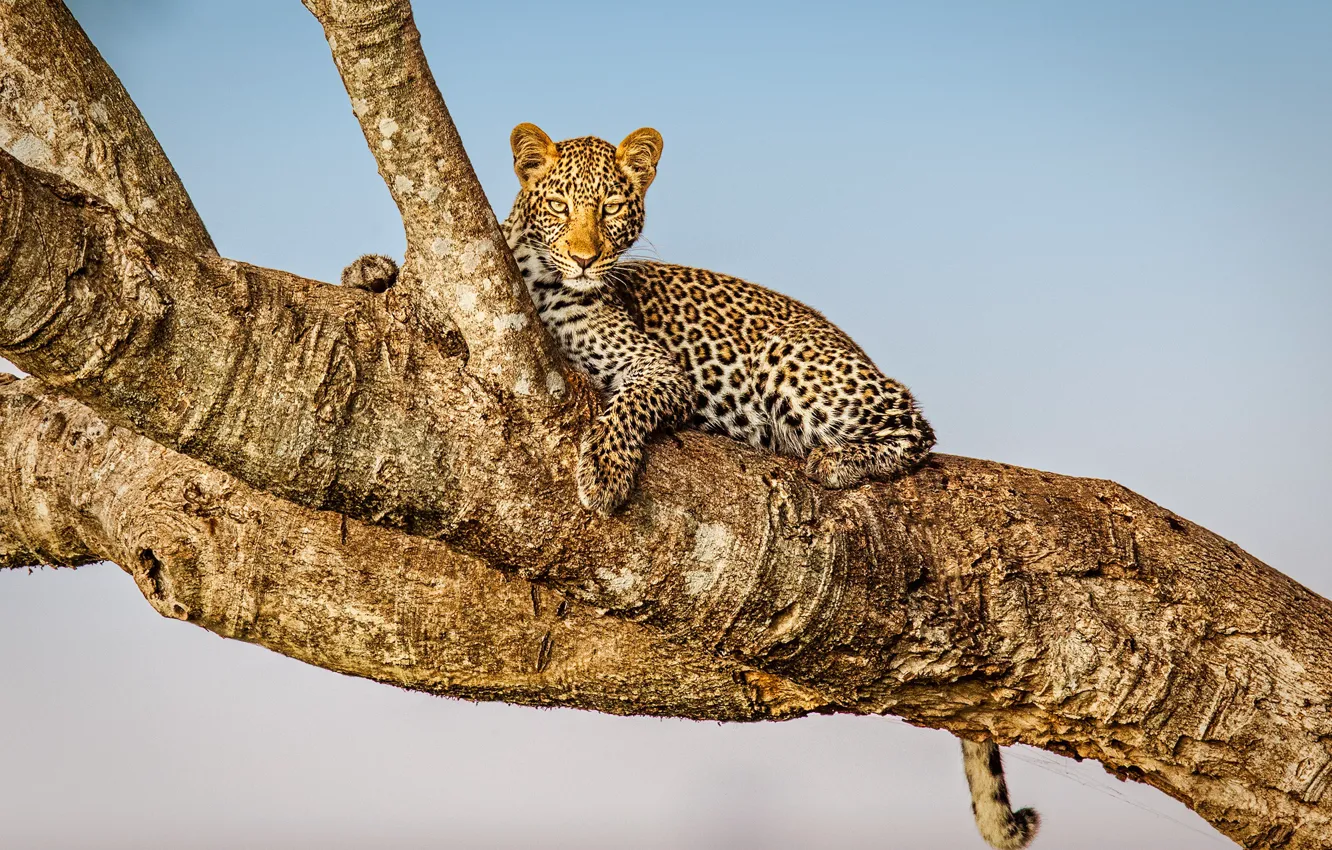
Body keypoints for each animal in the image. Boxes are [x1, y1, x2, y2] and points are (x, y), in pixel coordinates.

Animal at [343, 123, 1039, 850]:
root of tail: (858, 353)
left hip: (795, 362)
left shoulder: (658, 370)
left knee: (914, 422)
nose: (586, 259)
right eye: (560, 206)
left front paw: (604, 474)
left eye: (613, 207)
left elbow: (626, 407)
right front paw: (369, 270)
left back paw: (836, 461)